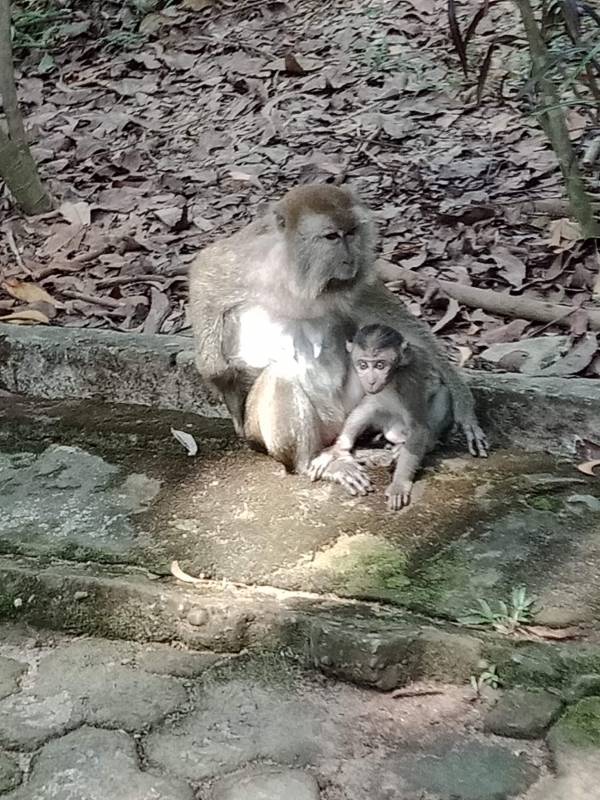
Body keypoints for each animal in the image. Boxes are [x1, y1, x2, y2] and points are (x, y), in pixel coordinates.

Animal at [310, 324, 450, 512]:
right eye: (363, 365)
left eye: (380, 365)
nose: (371, 381)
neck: (393, 377)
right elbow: (363, 407)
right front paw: (336, 451)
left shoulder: (410, 380)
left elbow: (419, 428)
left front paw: (399, 484)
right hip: (387, 422)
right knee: (370, 407)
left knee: (441, 398)